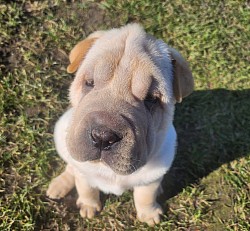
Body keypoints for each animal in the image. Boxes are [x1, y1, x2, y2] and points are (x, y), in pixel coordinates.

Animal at [47, 23, 193, 226]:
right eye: (89, 83)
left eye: (151, 100)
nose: (102, 136)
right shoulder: (84, 173)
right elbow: (86, 188)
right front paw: (88, 206)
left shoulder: (150, 179)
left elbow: (145, 196)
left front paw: (149, 214)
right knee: (71, 166)